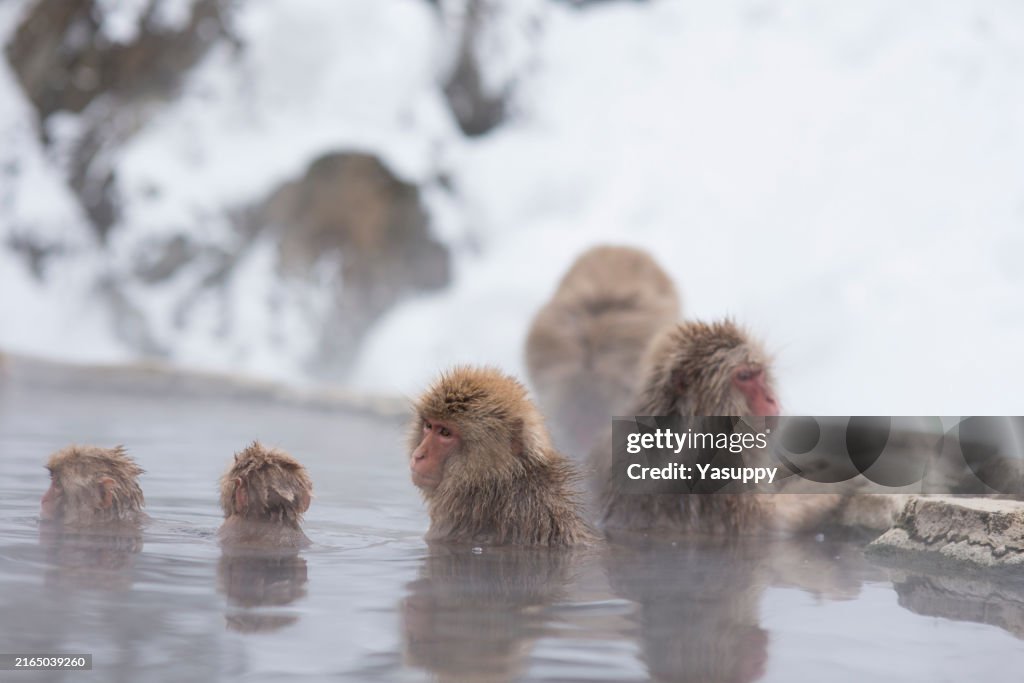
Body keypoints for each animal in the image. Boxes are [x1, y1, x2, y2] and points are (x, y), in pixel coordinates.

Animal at [592, 319, 841, 534]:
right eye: (744, 376)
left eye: (759, 372)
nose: (771, 399)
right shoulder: (716, 471)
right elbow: (765, 523)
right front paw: (831, 487)